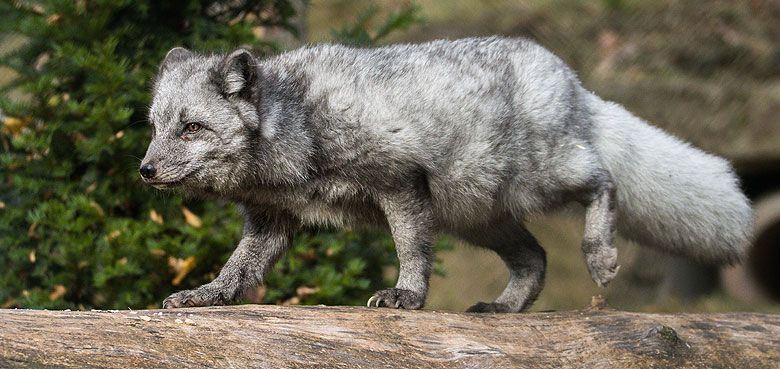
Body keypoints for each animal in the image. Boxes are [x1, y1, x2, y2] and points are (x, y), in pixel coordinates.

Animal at [143, 36, 752, 310]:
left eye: (192, 128)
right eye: (156, 126)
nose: (145, 170)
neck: (299, 122)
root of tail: (571, 79)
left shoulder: (399, 181)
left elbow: (410, 249)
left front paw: (407, 296)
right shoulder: (271, 219)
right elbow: (240, 268)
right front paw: (207, 295)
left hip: (543, 177)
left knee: (604, 180)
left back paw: (600, 255)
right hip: (479, 218)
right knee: (535, 258)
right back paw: (505, 307)